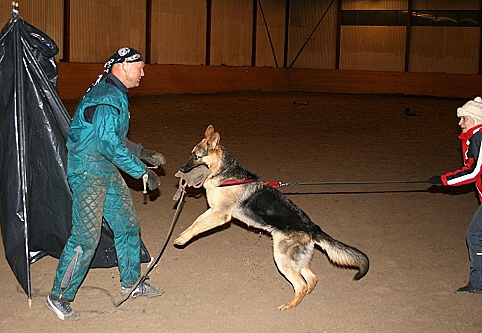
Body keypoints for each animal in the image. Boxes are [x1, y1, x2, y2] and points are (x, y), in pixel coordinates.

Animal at [174, 124, 370, 308]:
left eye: (196, 157)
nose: (181, 169)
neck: (225, 173)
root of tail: (312, 227)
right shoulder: (213, 211)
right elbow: (195, 224)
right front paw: (182, 237)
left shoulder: (220, 215)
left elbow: (198, 227)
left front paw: (181, 240)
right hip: (295, 260)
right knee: (312, 278)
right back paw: (303, 297)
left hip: (282, 259)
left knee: (301, 285)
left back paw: (289, 306)